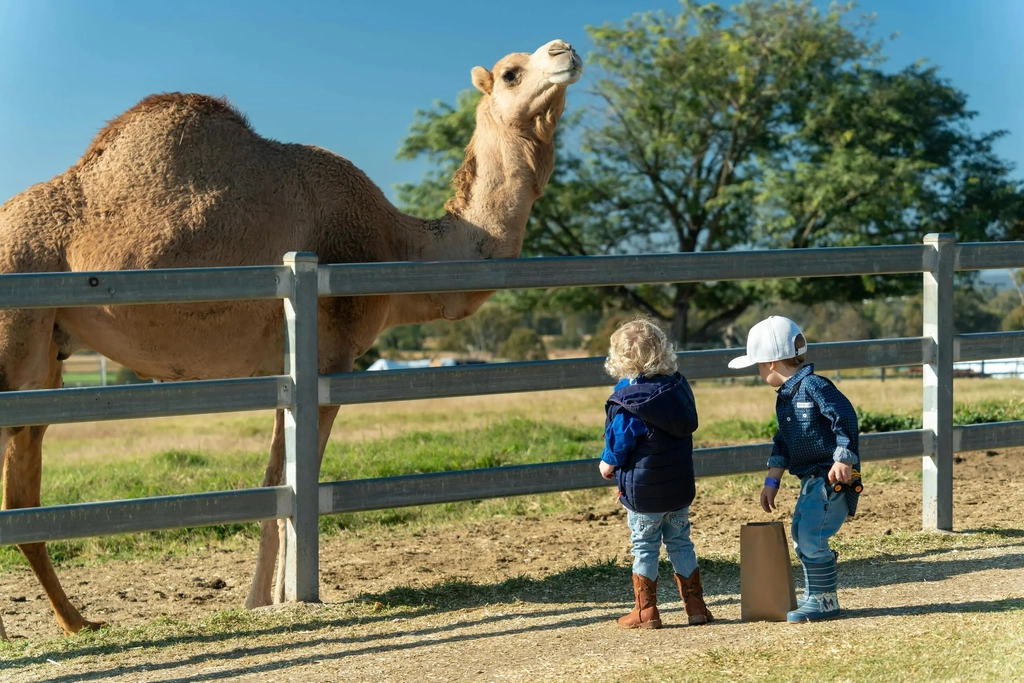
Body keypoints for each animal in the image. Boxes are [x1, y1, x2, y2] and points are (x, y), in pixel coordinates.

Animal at [0, 37, 581, 638]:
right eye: (511, 73)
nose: (566, 50)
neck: (398, 243)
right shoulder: (327, 355)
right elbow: (296, 474)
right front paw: (281, 598)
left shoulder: (285, 365)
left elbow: (277, 475)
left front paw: (261, 600)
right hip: (15, 328)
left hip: (47, 357)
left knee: (24, 482)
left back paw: (78, 621)